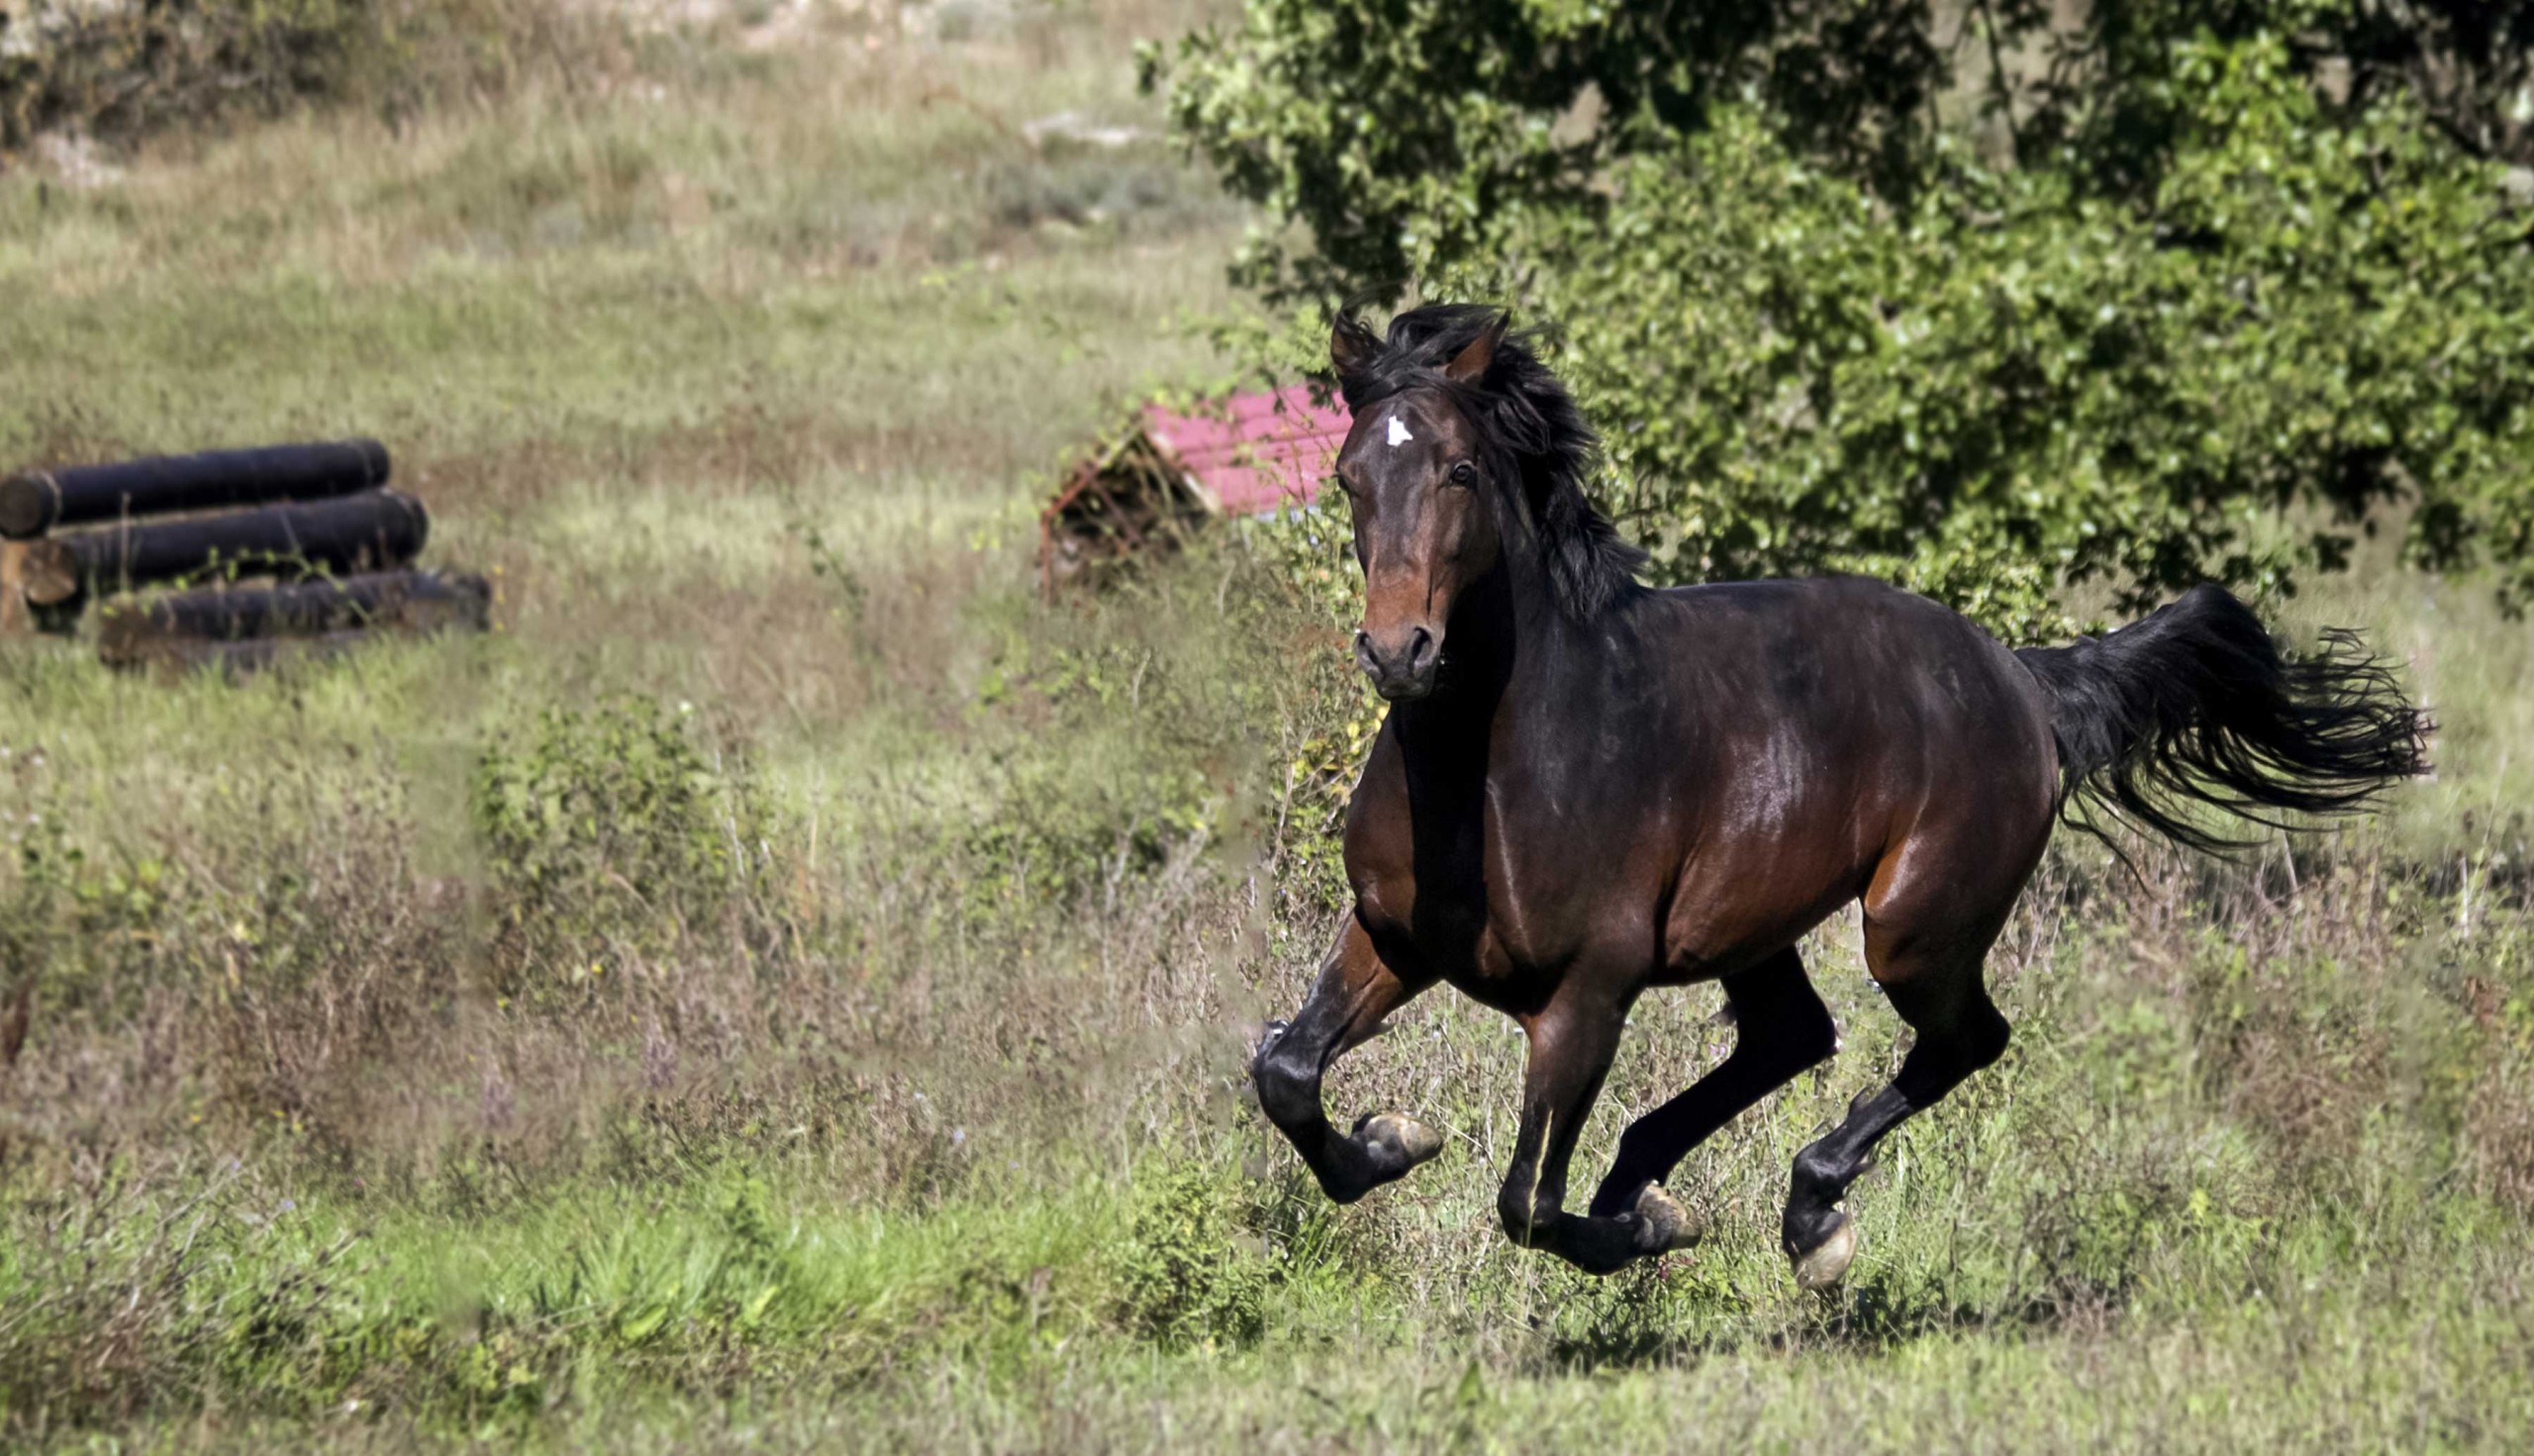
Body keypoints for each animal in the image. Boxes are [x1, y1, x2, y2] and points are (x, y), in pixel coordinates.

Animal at [1256, 301, 2422, 1281]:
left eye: (1458, 471)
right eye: (1348, 477)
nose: (1399, 652)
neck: (1499, 761)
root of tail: (2020, 678)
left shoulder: (1587, 991)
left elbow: (1527, 1204)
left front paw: (1643, 1232)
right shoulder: (1392, 936)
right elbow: (1288, 1073)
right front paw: (1389, 1142)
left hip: (1911, 926)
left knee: (1959, 1041)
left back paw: (1807, 1216)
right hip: (1757, 923)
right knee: (1794, 1036)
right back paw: (1663, 1181)